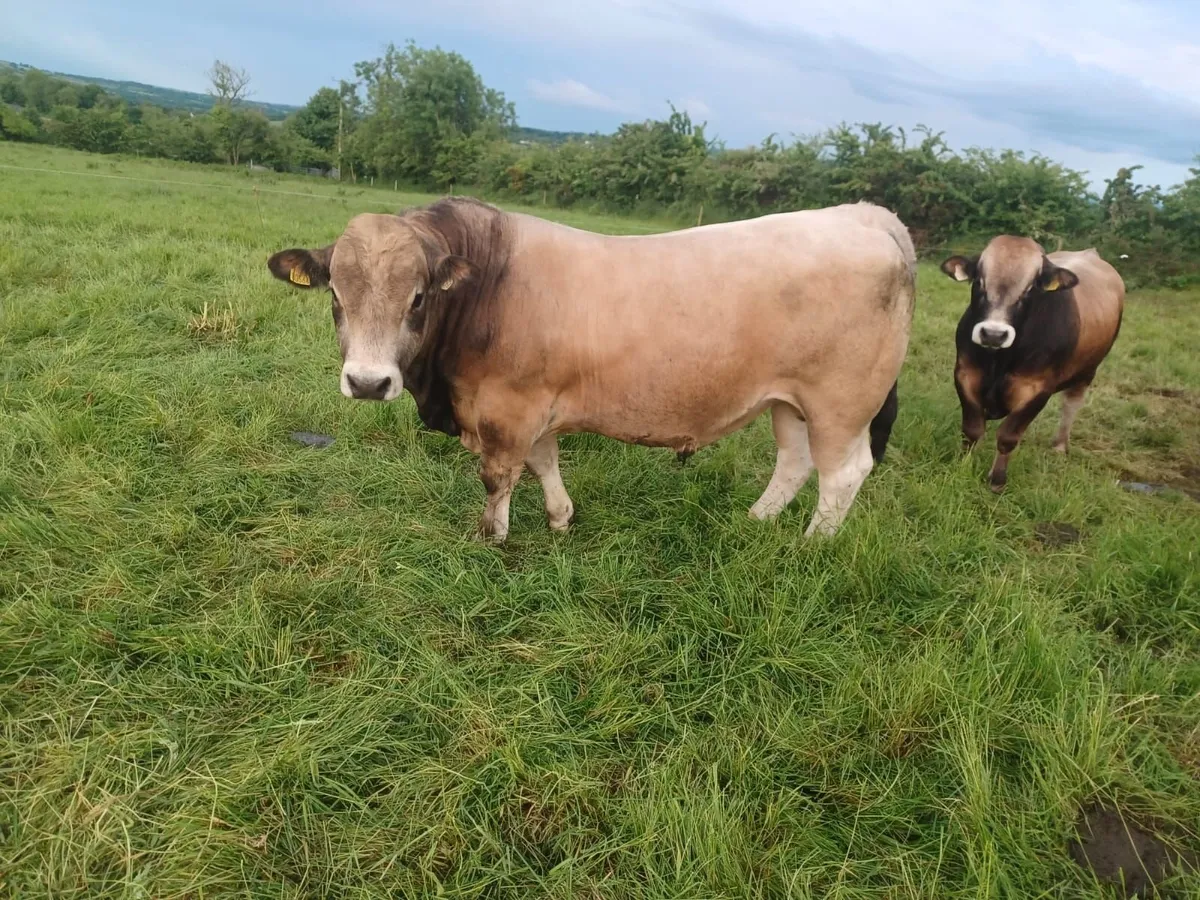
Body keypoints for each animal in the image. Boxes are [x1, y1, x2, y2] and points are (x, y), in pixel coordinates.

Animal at [267, 197, 916, 542]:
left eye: (419, 298)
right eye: (335, 295)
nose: (367, 382)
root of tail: (863, 216)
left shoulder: (507, 408)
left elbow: (499, 475)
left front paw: (490, 537)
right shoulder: (535, 403)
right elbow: (544, 462)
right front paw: (560, 519)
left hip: (840, 404)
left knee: (842, 474)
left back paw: (811, 546)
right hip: (788, 401)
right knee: (795, 462)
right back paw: (754, 523)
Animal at [940, 236, 1125, 492]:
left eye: (1030, 289)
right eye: (979, 281)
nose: (993, 334)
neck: (1000, 361)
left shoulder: (1037, 390)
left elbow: (1008, 437)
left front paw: (997, 481)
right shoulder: (966, 374)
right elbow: (972, 430)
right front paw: (962, 466)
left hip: (1088, 372)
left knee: (1071, 404)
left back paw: (1059, 445)